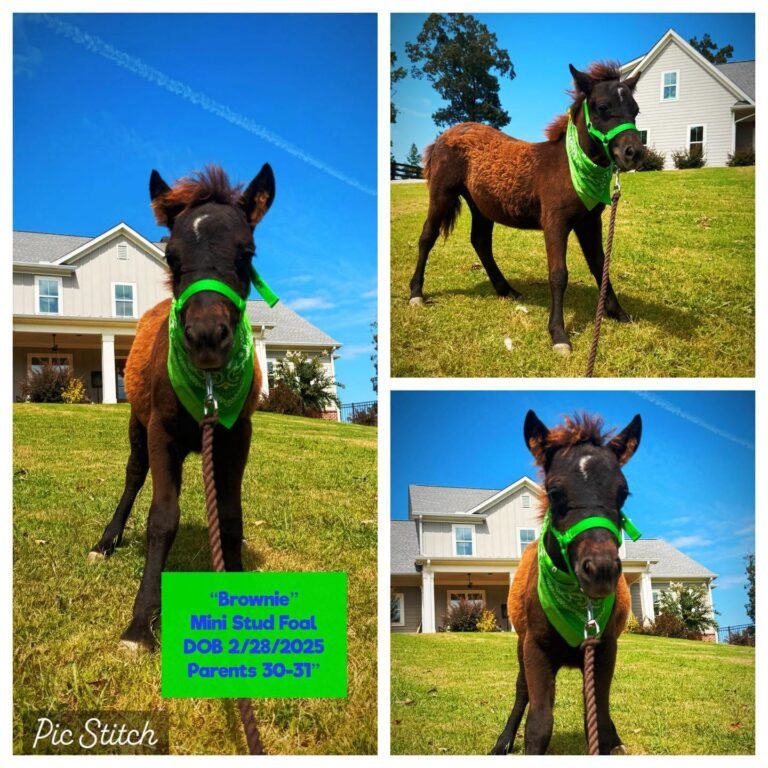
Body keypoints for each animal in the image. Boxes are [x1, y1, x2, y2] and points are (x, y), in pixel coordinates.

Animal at [89, 164, 275, 651]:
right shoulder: (161, 431)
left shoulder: (237, 435)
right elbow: (162, 518)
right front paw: (140, 625)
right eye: (171, 257)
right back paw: (106, 542)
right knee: (135, 477)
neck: (209, 386)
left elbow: (230, 517)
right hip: (138, 427)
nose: (207, 336)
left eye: (247, 253)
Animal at [408, 62, 645, 354]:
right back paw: (416, 293)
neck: (567, 166)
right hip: (442, 196)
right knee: (427, 237)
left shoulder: (590, 222)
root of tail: (445, 136)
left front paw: (619, 313)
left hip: (481, 206)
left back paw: (506, 290)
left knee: (480, 242)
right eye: (602, 106)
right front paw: (558, 334)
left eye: (635, 110)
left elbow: (600, 265)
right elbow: (558, 274)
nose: (634, 153)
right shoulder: (555, 223)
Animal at [490, 410, 642, 755]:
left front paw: (612, 741)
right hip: (522, 645)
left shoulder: (605, 648)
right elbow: (538, 724)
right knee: (523, 692)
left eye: (622, 494)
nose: (600, 570)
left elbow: (598, 719)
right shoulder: (534, 648)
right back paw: (503, 742)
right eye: (554, 492)